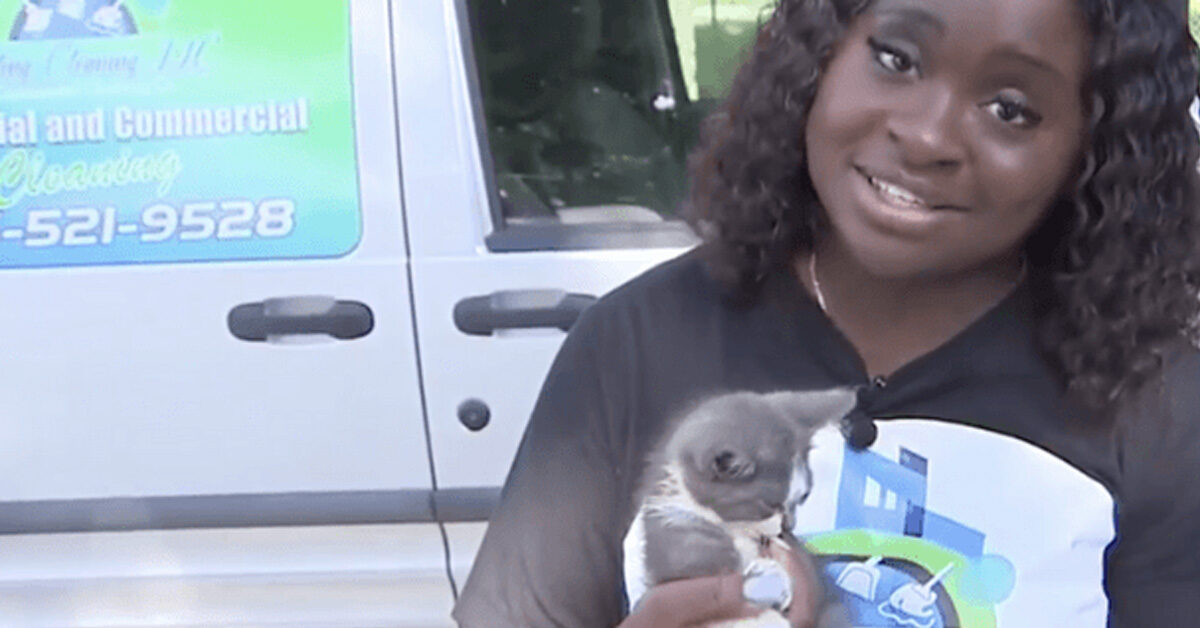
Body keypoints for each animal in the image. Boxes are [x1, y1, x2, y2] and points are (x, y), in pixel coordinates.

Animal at [633, 389, 859, 628]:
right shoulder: (668, 523)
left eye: (803, 497)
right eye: (769, 505)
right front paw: (768, 579)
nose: (788, 526)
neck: (735, 528)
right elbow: (691, 559)